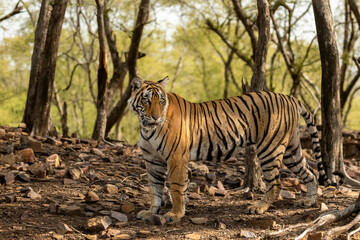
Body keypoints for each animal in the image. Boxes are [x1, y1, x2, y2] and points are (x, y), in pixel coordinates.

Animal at [128, 76, 330, 222]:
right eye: (146, 101)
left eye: (161, 101)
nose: (156, 117)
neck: (146, 127)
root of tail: (289, 97)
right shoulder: (152, 160)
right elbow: (154, 188)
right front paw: (151, 212)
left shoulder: (176, 157)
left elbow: (176, 188)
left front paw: (175, 214)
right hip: (291, 150)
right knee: (310, 172)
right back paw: (308, 201)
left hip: (270, 148)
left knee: (276, 183)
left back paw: (259, 207)